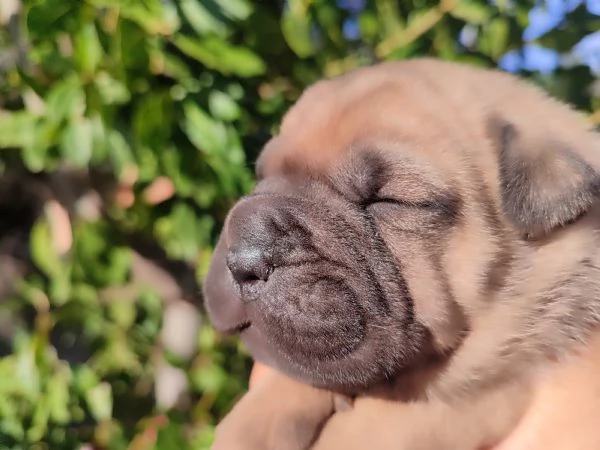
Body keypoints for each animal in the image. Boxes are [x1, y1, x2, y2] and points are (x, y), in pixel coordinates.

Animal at [204, 59, 600, 450]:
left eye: (389, 201)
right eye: (262, 177)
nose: (243, 254)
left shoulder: (484, 388)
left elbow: (368, 430)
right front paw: (252, 424)